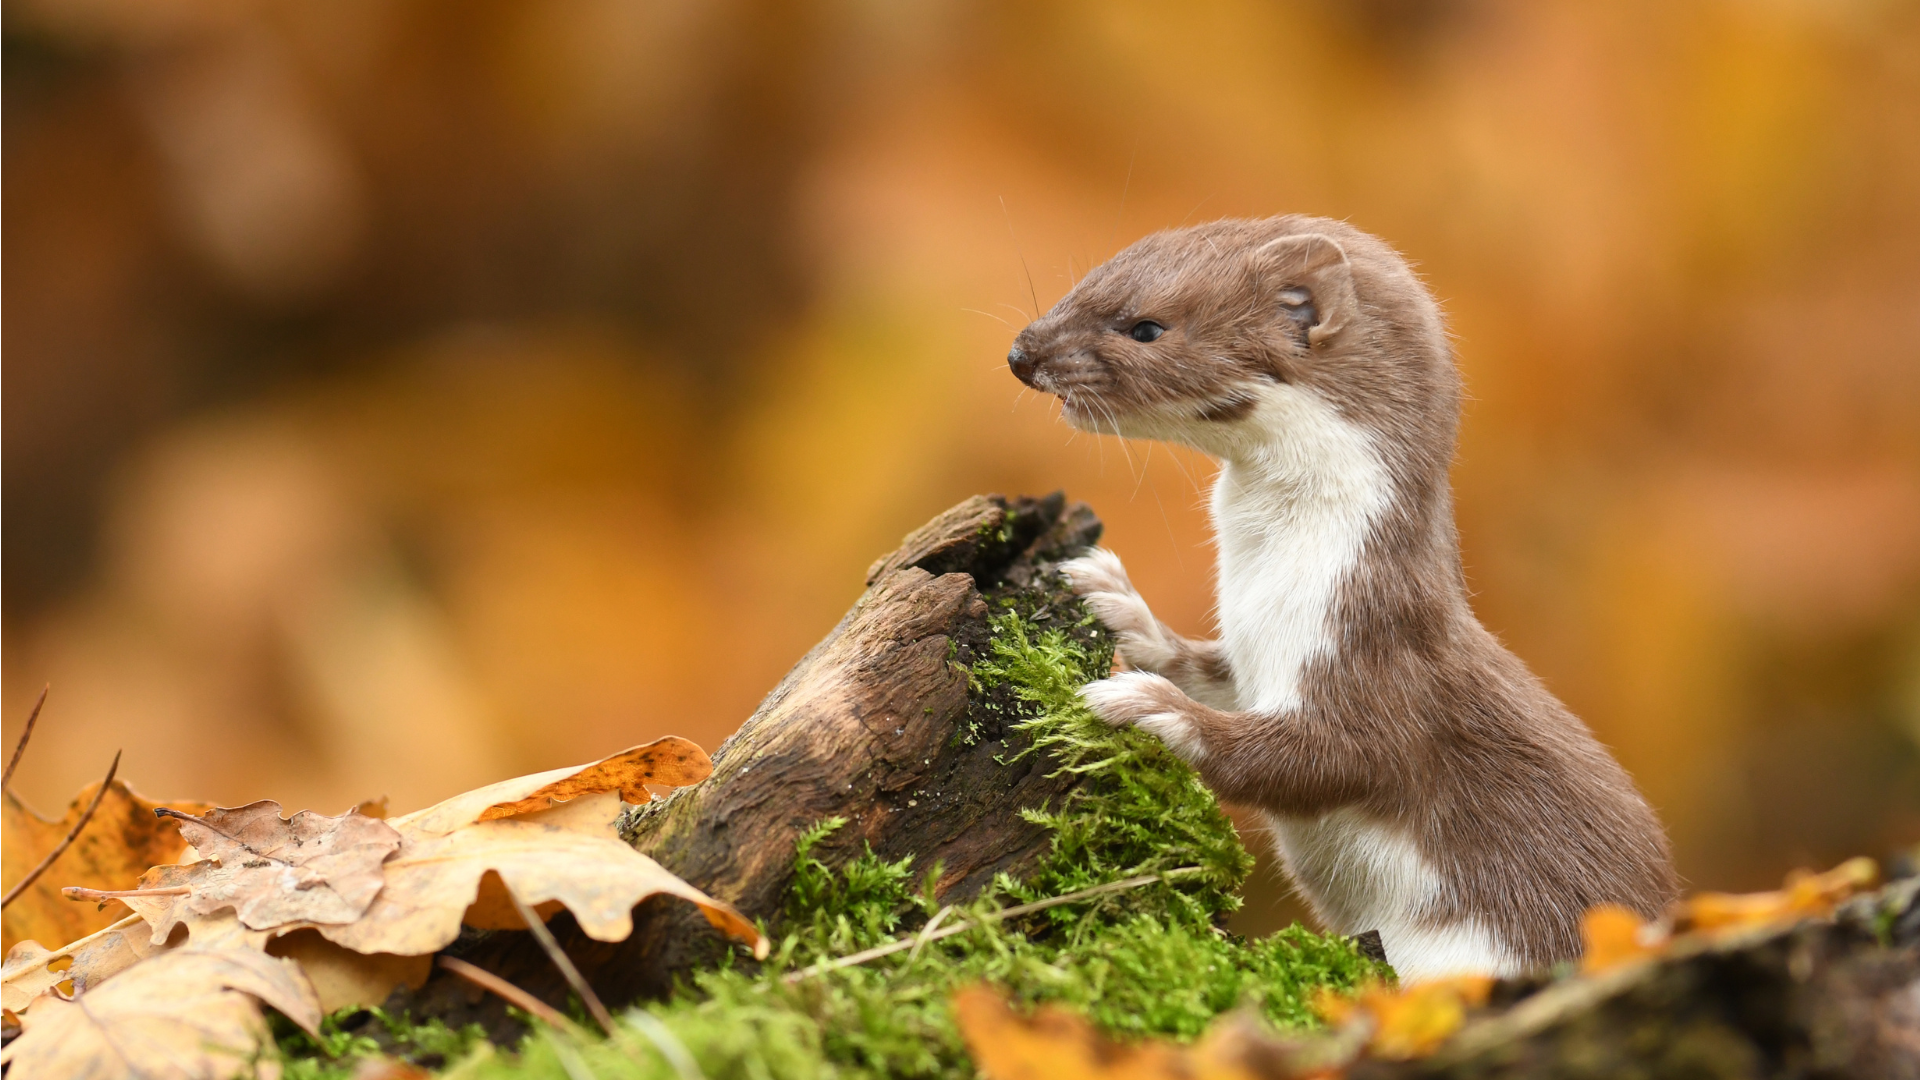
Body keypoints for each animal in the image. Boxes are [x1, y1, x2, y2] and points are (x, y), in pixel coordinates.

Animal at [1013, 214, 1674, 980]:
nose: (1020, 353)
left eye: (1146, 326)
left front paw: (1149, 705)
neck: (1265, 580)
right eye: (1090, 278)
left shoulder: (1373, 647)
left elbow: (1322, 759)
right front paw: (1114, 598)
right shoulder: (1253, 650)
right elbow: (1208, 668)